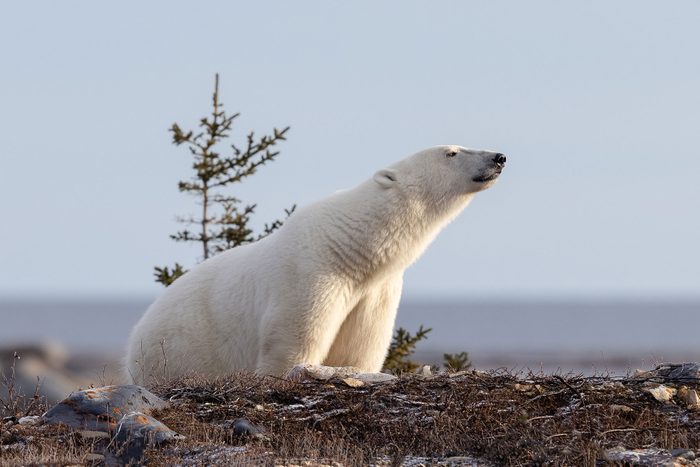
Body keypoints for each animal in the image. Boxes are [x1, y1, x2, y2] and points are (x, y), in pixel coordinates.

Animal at [125, 145, 505, 384]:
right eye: (451, 151)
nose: (499, 157)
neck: (351, 246)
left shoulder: (375, 292)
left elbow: (361, 348)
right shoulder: (310, 273)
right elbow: (292, 343)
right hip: (176, 352)